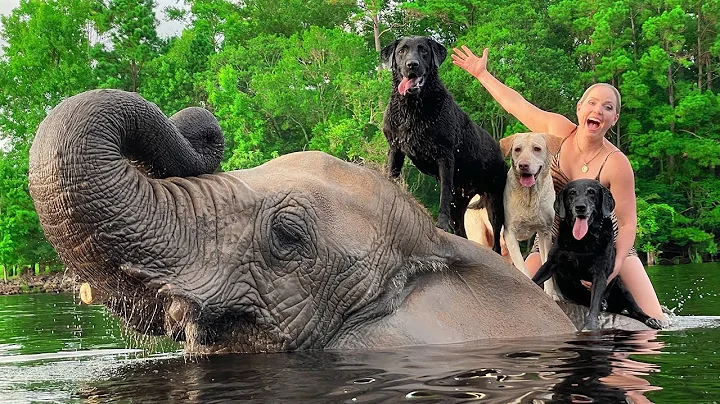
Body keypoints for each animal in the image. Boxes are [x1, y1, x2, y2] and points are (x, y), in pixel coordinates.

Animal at [382, 35, 506, 252]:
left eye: (423, 50)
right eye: (401, 51)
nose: (412, 65)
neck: (412, 108)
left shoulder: (445, 157)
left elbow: (443, 197)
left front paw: (440, 225)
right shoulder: (395, 149)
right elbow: (392, 176)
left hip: (494, 202)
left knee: (497, 242)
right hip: (462, 200)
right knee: (461, 230)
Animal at [528, 178, 664, 330]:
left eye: (591, 192)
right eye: (572, 193)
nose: (580, 207)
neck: (583, 241)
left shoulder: (599, 273)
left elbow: (595, 304)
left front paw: (591, 325)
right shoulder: (552, 262)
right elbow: (535, 279)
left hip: (623, 290)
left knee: (636, 309)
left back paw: (651, 320)